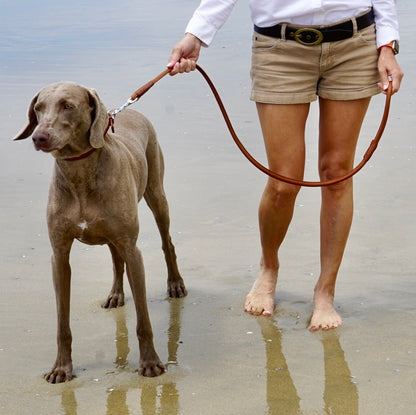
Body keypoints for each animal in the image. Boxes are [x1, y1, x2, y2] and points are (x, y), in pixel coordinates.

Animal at [14, 81, 187, 384]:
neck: (79, 173)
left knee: (167, 243)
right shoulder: (59, 255)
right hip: (111, 231)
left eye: (67, 106)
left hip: (156, 193)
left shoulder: (133, 250)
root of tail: (131, 110)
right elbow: (62, 323)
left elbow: (143, 320)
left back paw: (175, 283)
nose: (39, 137)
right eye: (38, 108)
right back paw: (116, 294)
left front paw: (150, 363)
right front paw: (61, 368)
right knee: (116, 259)